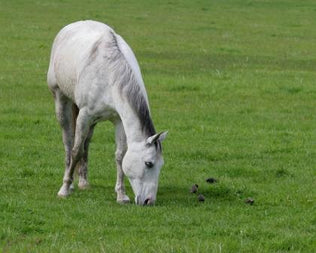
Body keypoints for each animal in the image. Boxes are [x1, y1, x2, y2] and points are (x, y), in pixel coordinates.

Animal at [46, 19, 168, 206]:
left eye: (160, 165)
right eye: (149, 163)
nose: (149, 201)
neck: (110, 76)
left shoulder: (119, 120)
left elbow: (120, 156)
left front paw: (121, 195)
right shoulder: (84, 116)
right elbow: (76, 151)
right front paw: (65, 189)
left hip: (93, 121)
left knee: (86, 143)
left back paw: (83, 182)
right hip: (61, 100)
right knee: (68, 142)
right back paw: (70, 183)